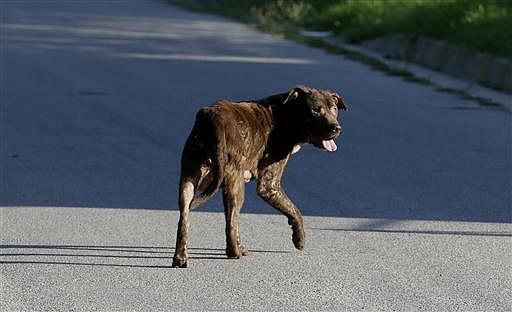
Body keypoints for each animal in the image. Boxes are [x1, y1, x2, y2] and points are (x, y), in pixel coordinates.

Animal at [173, 85, 348, 268]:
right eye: (315, 110)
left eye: (334, 109)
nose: (336, 128)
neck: (285, 115)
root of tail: (213, 121)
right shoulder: (269, 186)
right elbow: (294, 210)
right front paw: (299, 239)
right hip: (236, 187)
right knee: (230, 222)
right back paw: (233, 252)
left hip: (189, 181)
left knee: (185, 217)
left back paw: (180, 257)